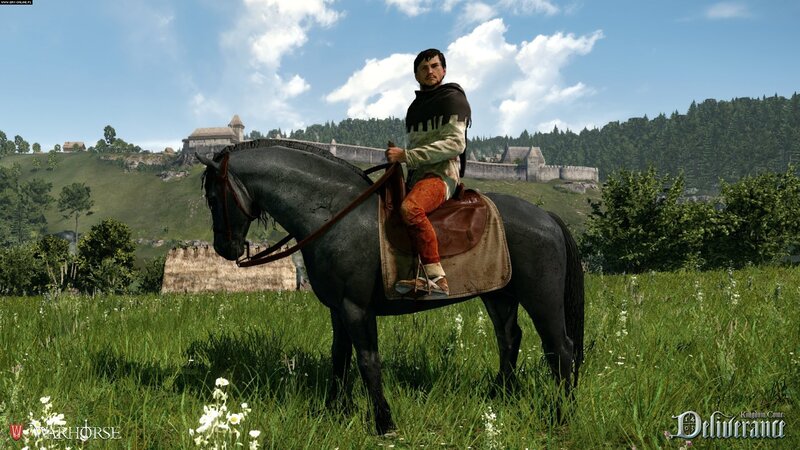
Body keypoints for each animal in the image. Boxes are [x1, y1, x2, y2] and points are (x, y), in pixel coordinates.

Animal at [197, 140, 584, 434]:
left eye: (214, 198)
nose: (225, 248)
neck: (336, 214)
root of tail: (547, 219)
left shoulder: (356, 308)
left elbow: (368, 361)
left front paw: (384, 423)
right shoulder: (338, 310)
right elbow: (339, 357)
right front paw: (335, 410)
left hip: (541, 299)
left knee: (560, 348)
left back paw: (562, 414)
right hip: (499, 295)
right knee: (509, 338)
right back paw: (500, 396)